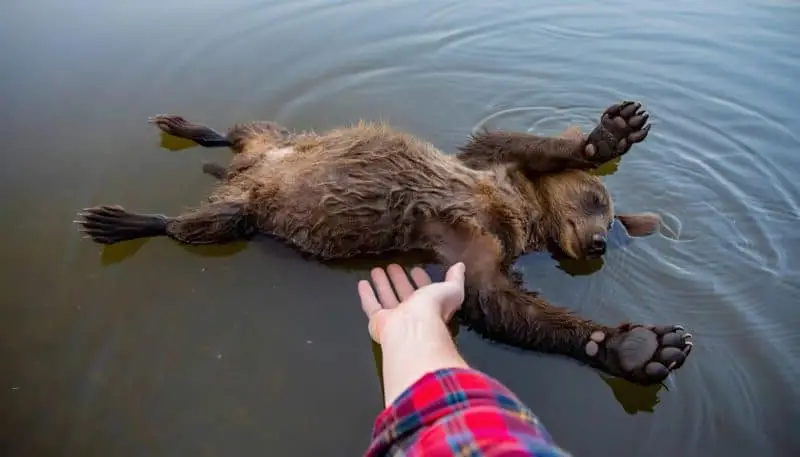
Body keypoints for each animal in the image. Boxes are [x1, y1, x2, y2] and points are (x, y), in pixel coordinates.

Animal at [75, 100, 692, 385]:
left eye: (610, 217)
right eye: (595, 201)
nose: (600, 242)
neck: (518, 210)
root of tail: (240, 173)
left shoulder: (471, 248)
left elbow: (494, 300)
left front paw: (634, 347)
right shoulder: (485, 162)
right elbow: (513, 140)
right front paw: (608, 135)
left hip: (250, 191)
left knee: (229, 166)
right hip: (258, 176)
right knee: (209, 190)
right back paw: (124, 212)